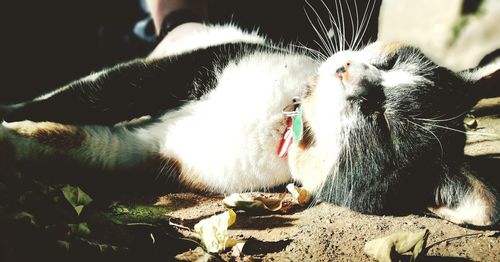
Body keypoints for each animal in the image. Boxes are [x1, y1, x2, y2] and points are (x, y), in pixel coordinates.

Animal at [0, 22, 498, 226]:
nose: (346, 71)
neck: (283, 122)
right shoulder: (185, 70)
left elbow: (82, 142)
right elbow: (87, 96)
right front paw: (10, 117)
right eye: (392, 61)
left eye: (381, 125)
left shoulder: (145, 152)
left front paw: (14, 141)